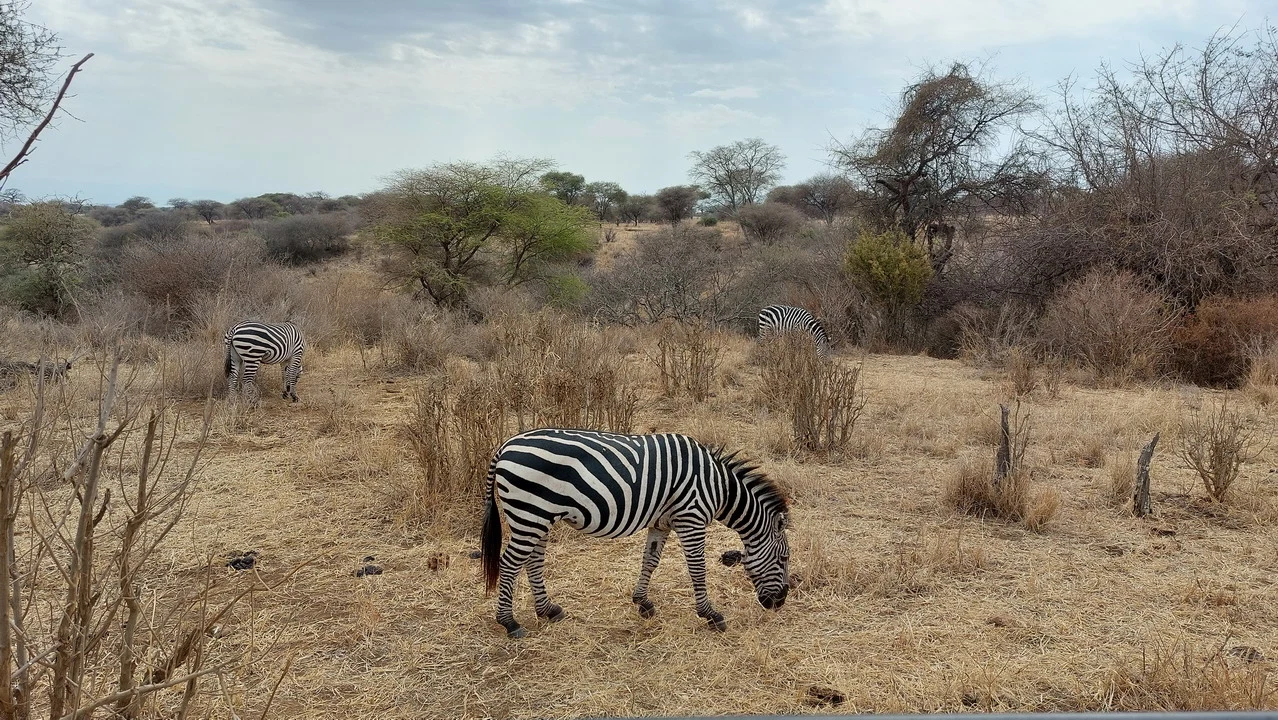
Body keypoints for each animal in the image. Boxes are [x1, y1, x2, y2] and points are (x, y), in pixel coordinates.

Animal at [480, 428, 790, 638]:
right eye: (783, 559)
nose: (780, 603)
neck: (719, 486)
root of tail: (506, 445)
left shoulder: (662, 521)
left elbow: (650, 561)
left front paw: (643, 603)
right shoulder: (691, 518)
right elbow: (697, 569)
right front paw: (711, 615)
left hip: (539, 517)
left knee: (533, 561)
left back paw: (548, 610)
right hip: (530, 513)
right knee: (510, 564)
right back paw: (509, 622)